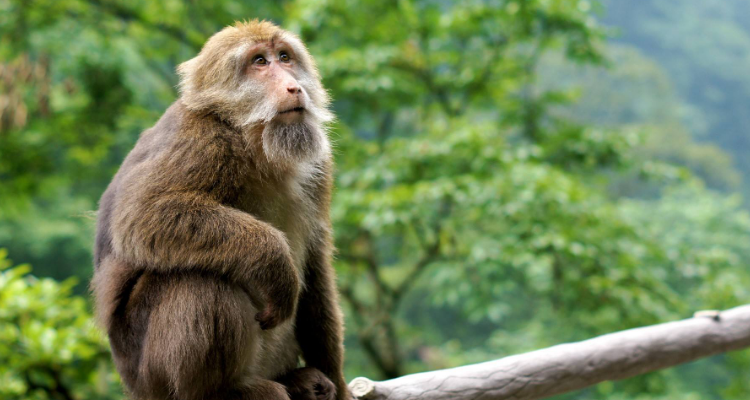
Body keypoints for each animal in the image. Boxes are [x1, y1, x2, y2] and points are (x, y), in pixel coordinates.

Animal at [92, 21, 352, 400]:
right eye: (259, 62)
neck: (254, 141)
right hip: (153, 373)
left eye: (284, 57)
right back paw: (225, 390)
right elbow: (142, 217)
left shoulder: (319, 164)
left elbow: (316, 265)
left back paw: (298, 381)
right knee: (203, 280)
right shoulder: (201, 140)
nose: (294, 86)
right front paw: (275, 262)